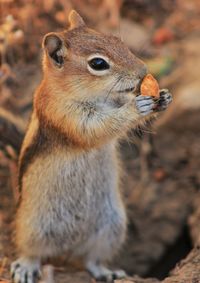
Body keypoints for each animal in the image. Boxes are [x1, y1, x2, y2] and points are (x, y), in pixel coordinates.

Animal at [10, 10, 172, 283]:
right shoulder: (64, 114)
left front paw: (163, 97)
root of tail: (67, 250)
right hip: (34, 227)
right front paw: (136, 106)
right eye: (98, 64)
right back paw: (26, 267)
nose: (143, 70)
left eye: (118, 40)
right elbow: (97, 127)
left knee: (91, 259)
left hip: (111, 227)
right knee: (32, 251)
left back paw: (107, 272)